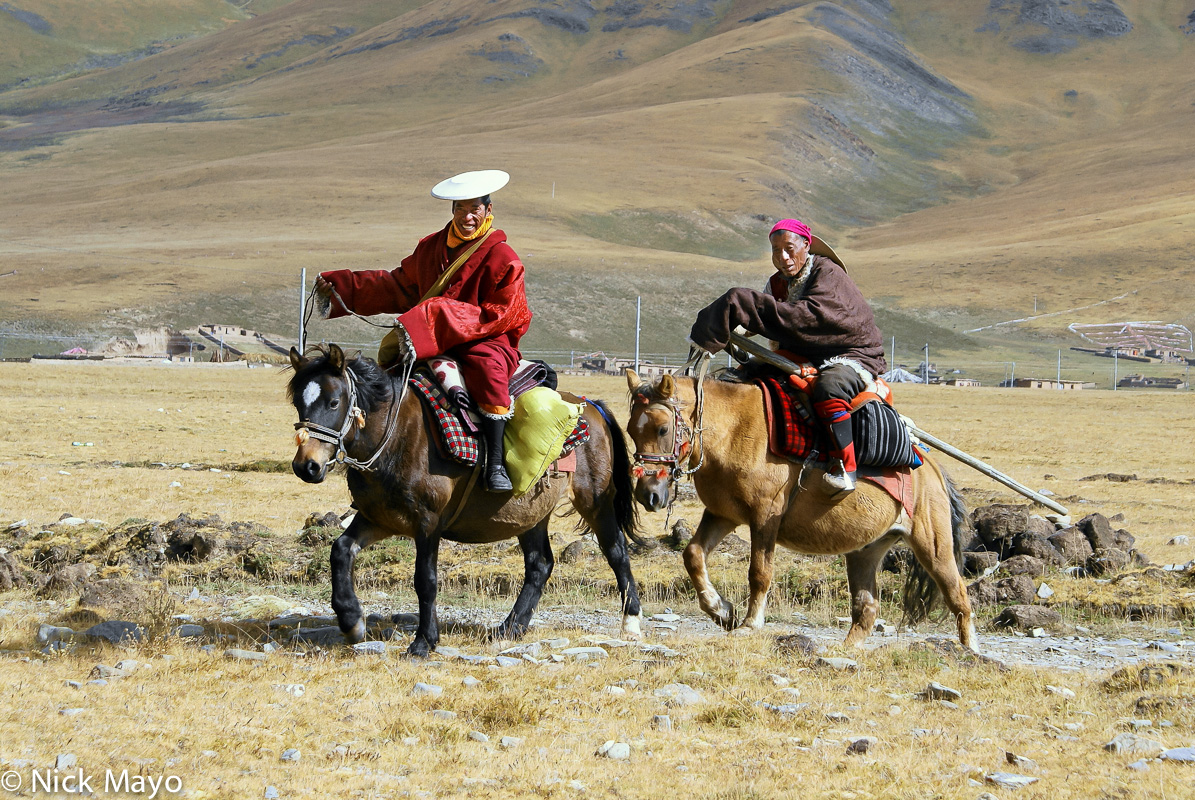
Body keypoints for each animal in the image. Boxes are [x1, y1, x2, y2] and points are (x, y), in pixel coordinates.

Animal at [286, 344, 645, 655]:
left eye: (334, 402)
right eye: (299, 403)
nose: (307, 466)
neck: (397, 436)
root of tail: (591, 406)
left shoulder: (427, 522)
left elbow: (426, 580)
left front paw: (423, 642)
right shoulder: (378, 517)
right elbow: (341, 550)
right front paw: (351, 621)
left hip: (595, 500)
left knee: (616, 551)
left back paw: (631, 622)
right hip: (530, 513)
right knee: (539, 564)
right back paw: (510, 627)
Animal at [621, 370, 975, 650]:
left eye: (662, 429)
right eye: (630, 430)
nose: (648, 494)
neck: (733, 431)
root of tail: (931, 469)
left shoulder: (765, 516)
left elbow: (759, 573)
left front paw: (749, 624)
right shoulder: (723, 515)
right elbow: (693, 554)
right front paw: (721, 611)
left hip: (932, 544)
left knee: (958, 594)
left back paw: (969, 651)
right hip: (865, 551)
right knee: (866, 607)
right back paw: (845, 650)